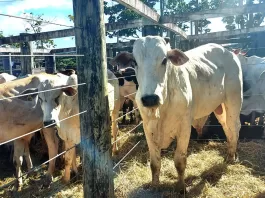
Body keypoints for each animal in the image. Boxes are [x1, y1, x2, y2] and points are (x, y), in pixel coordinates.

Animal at [110, 36, 242, 192]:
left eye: (164, 60)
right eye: (134, 62)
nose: (150, 98)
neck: (162, 109)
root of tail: (229, 52)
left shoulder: (184, 128)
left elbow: (179, 161)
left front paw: (181, 187)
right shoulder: (148, 128)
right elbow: (154, 163)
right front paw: (155, 186)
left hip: (233, 101)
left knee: (235, 127)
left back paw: (232, 157)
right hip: (219, 108)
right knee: (227, 128)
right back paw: (229, 153)